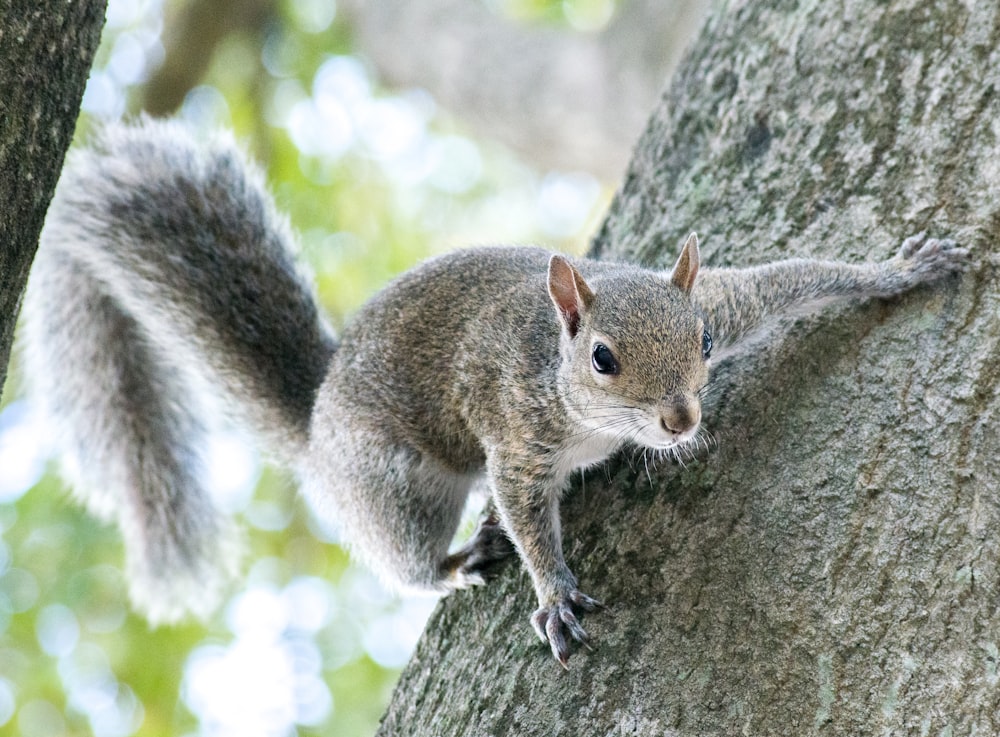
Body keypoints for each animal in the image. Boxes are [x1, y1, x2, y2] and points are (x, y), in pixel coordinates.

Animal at [19, 118, 964, 664]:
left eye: (700, 341)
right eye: (603, 359)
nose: (680, 417)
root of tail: (316, 425)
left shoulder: (729, 303)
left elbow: (792, 281)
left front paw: (900, 269)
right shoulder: (514, 428)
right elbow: (523, 506)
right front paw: (554, 595)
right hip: (390, 480)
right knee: (402, 555)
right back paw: (456, 559)